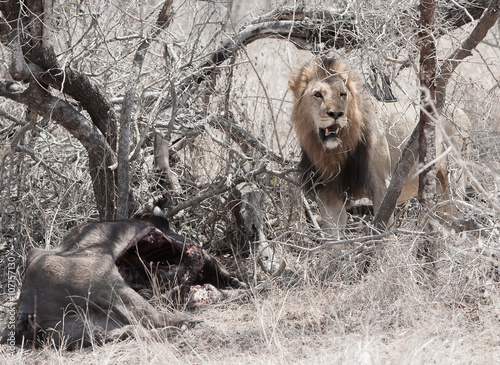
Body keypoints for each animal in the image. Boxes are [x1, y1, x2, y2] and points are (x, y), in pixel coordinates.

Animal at [3, 208, 245, 346]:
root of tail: (25, 309)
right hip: (115, 293)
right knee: (157, 320)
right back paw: (191, 323)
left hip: (84, 328)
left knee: (138, 331)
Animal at [290, 55, 468, 229]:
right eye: (318, 95)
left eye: (342, 94)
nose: (336, 114)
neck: (335, 152)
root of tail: (460, 110)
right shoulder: (329, 195)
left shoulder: (382, 185)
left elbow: (383, 226)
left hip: (455, 179)